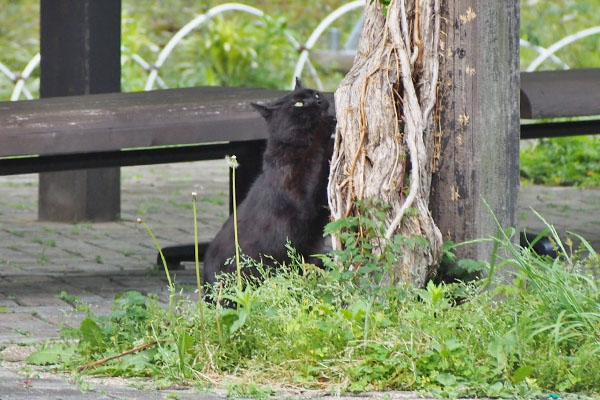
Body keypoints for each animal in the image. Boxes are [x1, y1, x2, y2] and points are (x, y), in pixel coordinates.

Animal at [200, 80, 332, 288]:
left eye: (316, 94)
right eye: (299, 104)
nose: (319, 102)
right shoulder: (303, 196)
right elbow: (316, 152)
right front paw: (327, 124)